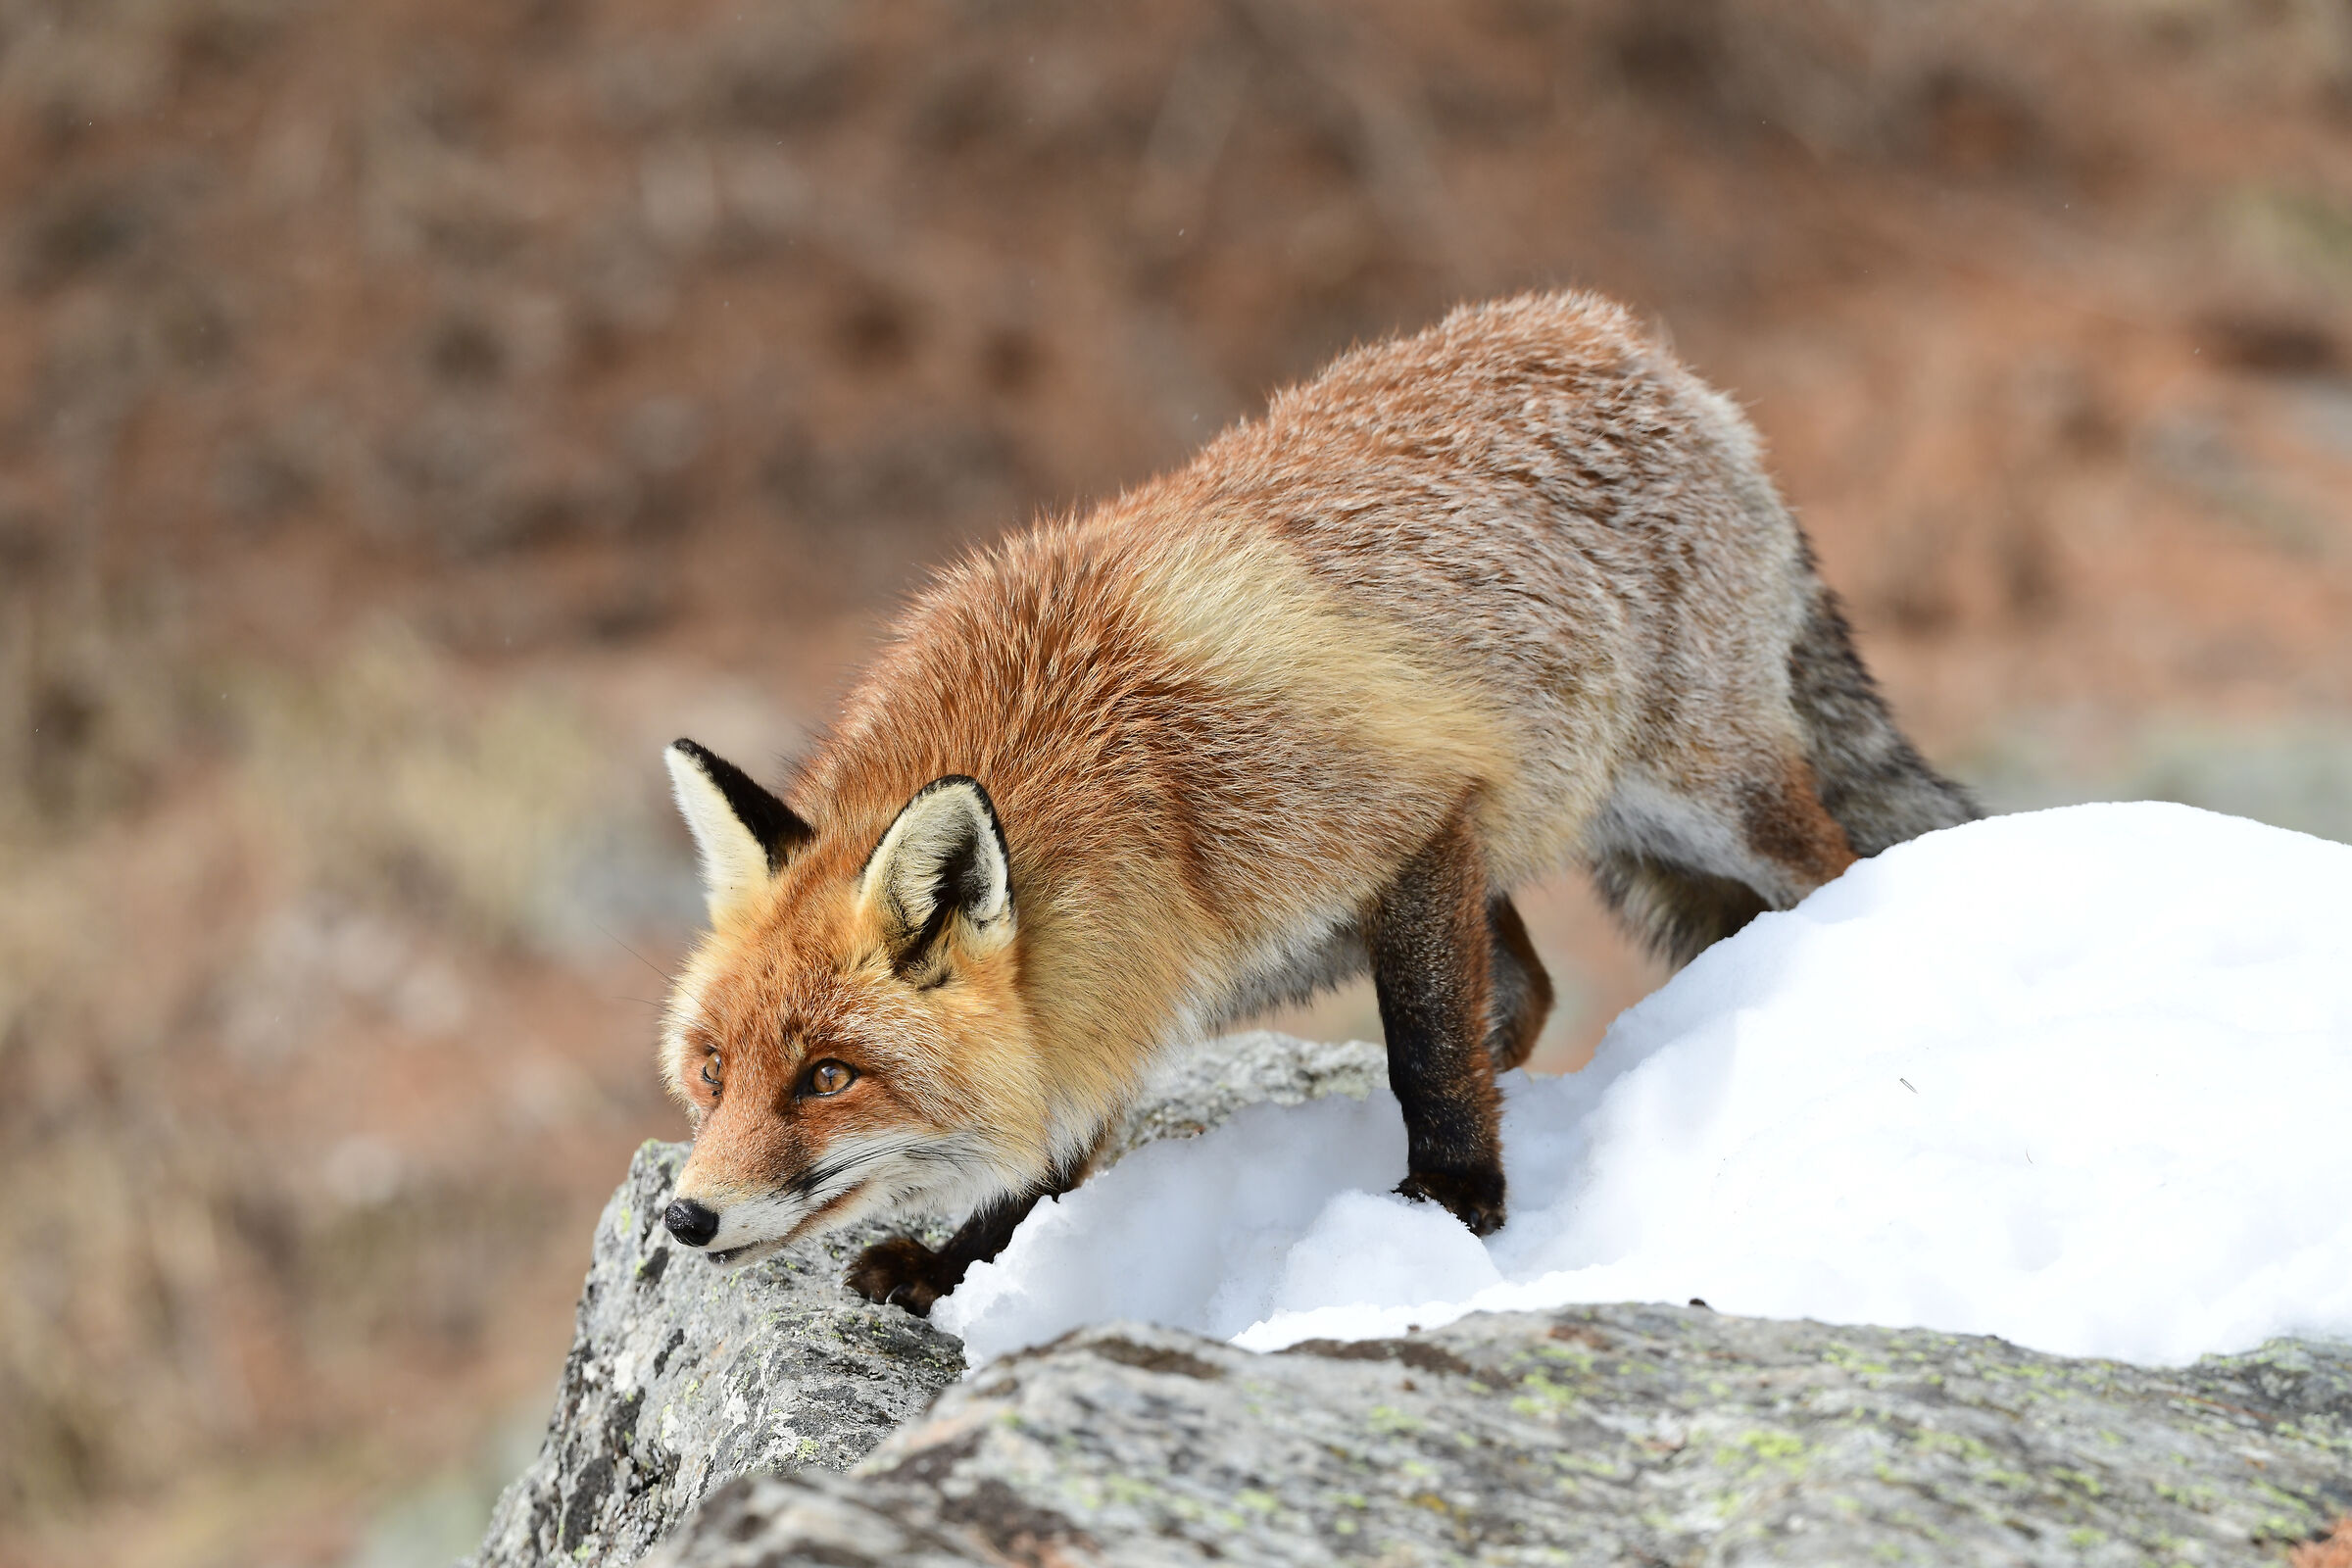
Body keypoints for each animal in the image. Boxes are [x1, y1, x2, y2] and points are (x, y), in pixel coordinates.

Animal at [654, 291, 1976, 1315]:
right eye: (713, 1070)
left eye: (829, 1076)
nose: (686, 1217)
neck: (1143, 783)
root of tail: (1631, 343)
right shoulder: (1118, 975)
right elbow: (1061, 1145)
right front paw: (957, 1263)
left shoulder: (1416, 820)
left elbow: (1431, 1055)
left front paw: (1452, 1205)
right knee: (1533, 991)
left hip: (1708, 799)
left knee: (1833, 868)